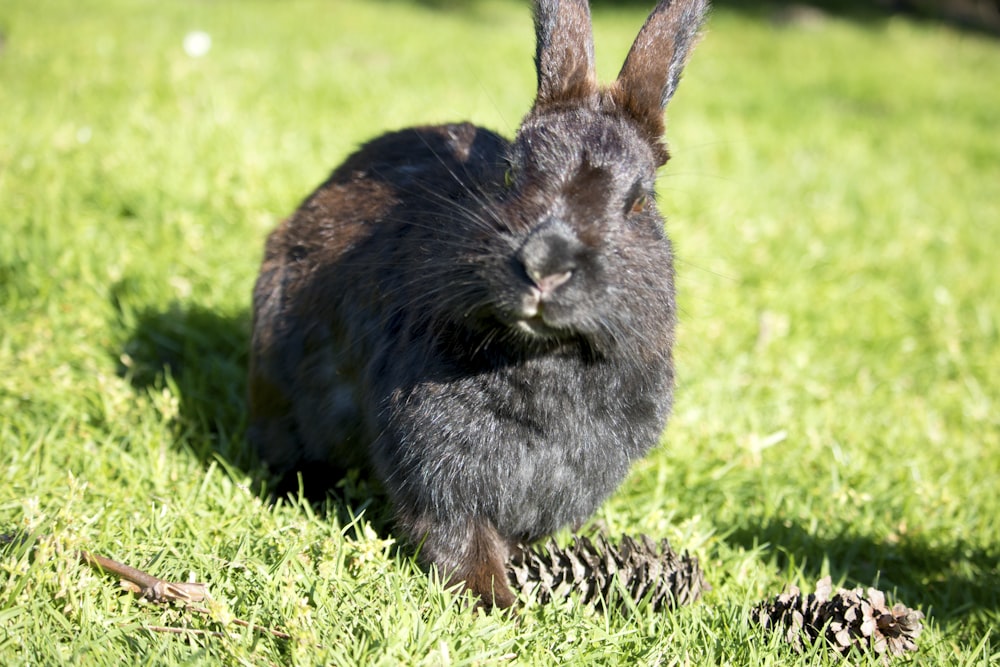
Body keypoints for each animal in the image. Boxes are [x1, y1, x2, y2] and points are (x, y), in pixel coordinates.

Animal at [247, 0, 708, 612]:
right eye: (511, 174)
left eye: (639, 202)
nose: (544, 264)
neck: (540, 357)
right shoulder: (435, 469)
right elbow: (456, 537)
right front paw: (495, 602)